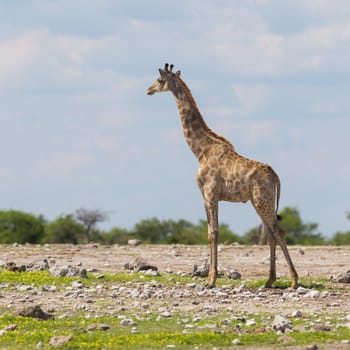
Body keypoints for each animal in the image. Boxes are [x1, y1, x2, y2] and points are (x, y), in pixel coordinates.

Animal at [147, 64, 298, 288]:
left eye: (159, 79)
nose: (148, 90)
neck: (201, 150)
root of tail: (277, 177)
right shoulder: (205, 195)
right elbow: (210, 231)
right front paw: (211, 276)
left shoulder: (210, 192)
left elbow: (213, 232)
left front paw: (211, 279)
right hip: (259, 202)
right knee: (271, 234)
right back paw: (269, 280)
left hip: (263, 200)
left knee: (278, 232)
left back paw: (294, 280)